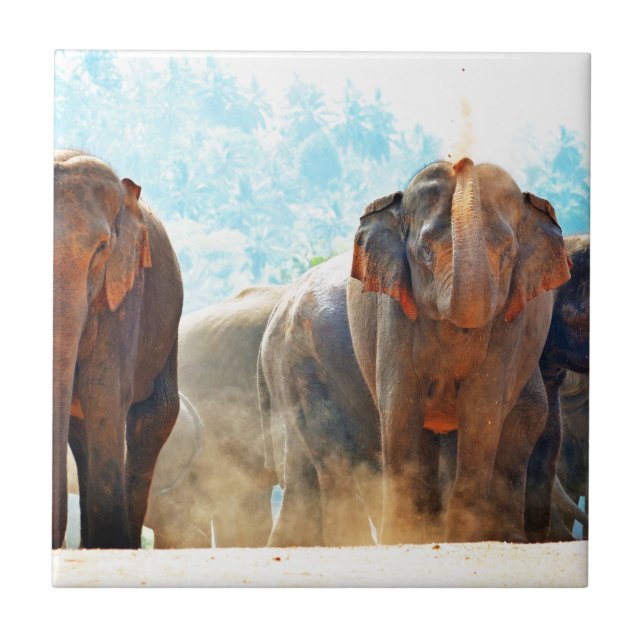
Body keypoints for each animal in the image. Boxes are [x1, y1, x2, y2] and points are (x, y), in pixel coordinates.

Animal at [259, 157, 571, 546]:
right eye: (424, 252)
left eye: (508, 254)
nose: (460, 161)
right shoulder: (392, 310)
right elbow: (400, 406)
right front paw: (403, 536)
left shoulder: (513, 319)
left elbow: (482, 408)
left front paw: (464, 537)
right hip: (301, 363)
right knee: (329, 450)